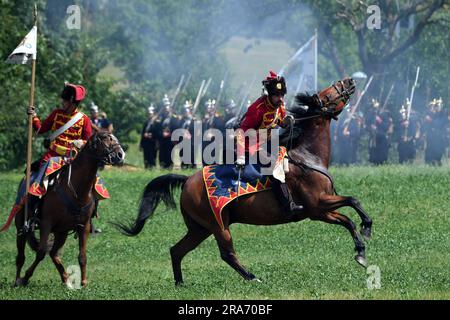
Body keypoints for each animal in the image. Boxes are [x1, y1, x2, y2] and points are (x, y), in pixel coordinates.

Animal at [117, 77, 372, 284]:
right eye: (327, 95)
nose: (349, 81)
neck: (307, 156)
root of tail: (188, 180)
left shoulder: (322, 210)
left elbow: (349, 218)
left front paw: (361, 249)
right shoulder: (317, 206)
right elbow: (352, 202)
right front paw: (366, 230)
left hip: (200, 228)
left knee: (176, 250)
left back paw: (180, 283)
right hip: (218, 226)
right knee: (227, 254)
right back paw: (252, 277)